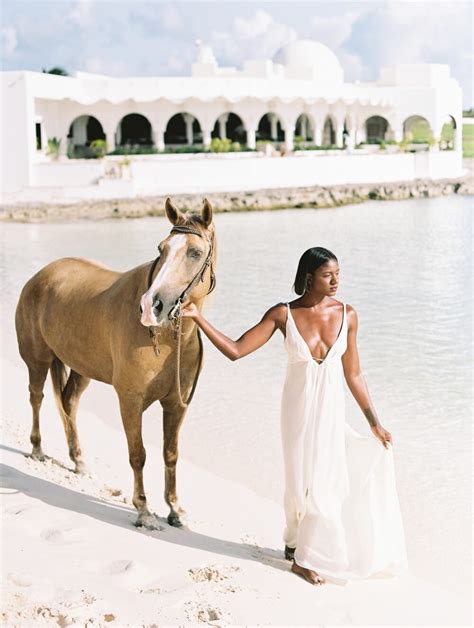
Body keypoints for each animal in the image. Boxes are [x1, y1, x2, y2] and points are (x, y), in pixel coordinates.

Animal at [13, 199, 217, 528]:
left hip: (81, 370)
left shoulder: (176, 404)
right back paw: (37, 448)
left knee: (68, 404)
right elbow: (138, 454)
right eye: (161, 248)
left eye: (195, 253)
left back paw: (79, 460)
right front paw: (144, 510)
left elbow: (170, 454)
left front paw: (175, 509)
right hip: (37, 361)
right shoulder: (130, 401)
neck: (165, 339)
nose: (152, 306)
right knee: (37, 397)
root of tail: (41, 275)